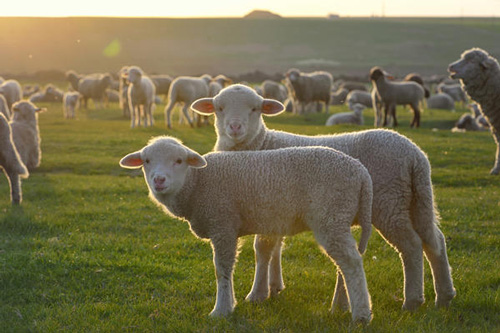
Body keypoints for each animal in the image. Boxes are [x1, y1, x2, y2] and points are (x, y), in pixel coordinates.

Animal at [119, 135, 374, 322]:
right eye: (146, 161)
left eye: (179, 160)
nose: (159, 180)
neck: (197, 183)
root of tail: (361, 172)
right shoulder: (226, 226)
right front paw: (230, 304)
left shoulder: (222, 223)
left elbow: (222, 268)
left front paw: (221, 310)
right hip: (338, 218)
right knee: (345, 263)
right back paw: (341, 306)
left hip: (330, 214)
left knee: (351, 262)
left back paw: (361, 315)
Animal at [191, 83, 458, 312]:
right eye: (219, 108)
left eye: (255, 108)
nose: (235, 128)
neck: (261, 144)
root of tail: (415, 155)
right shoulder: (274, 211)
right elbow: (276, 249)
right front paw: (275, 287)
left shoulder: (267, 205)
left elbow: (263, 249)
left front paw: (257, 294)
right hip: (417, 199)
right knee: (434, 240)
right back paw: (444, 296)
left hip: (389, 202)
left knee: (411, 245)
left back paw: (412, 300)